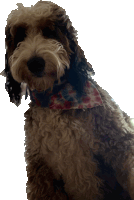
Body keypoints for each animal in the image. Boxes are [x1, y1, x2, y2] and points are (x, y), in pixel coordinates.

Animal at [3, 1, 134, 200]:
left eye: (49, 32)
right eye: (20, 36)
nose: (35, 63)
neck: (56, 98)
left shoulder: (119, 141)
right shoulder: (44, 168)